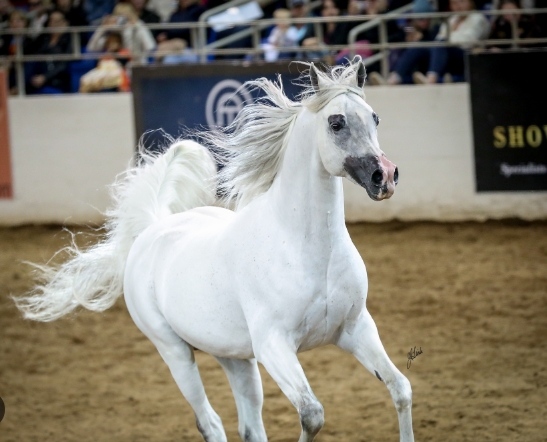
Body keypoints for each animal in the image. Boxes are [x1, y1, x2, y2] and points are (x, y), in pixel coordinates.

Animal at [15, 59, 414, 442]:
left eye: (375, 117)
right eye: (336, 122)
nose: (385, 177)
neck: (306, 248)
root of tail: (153, 229)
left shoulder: (355, 328)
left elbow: (401, 389)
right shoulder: (274, 346)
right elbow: (312, 415)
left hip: (234, 357)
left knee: (250, 427)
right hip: (175, 353)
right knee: (210, 423)